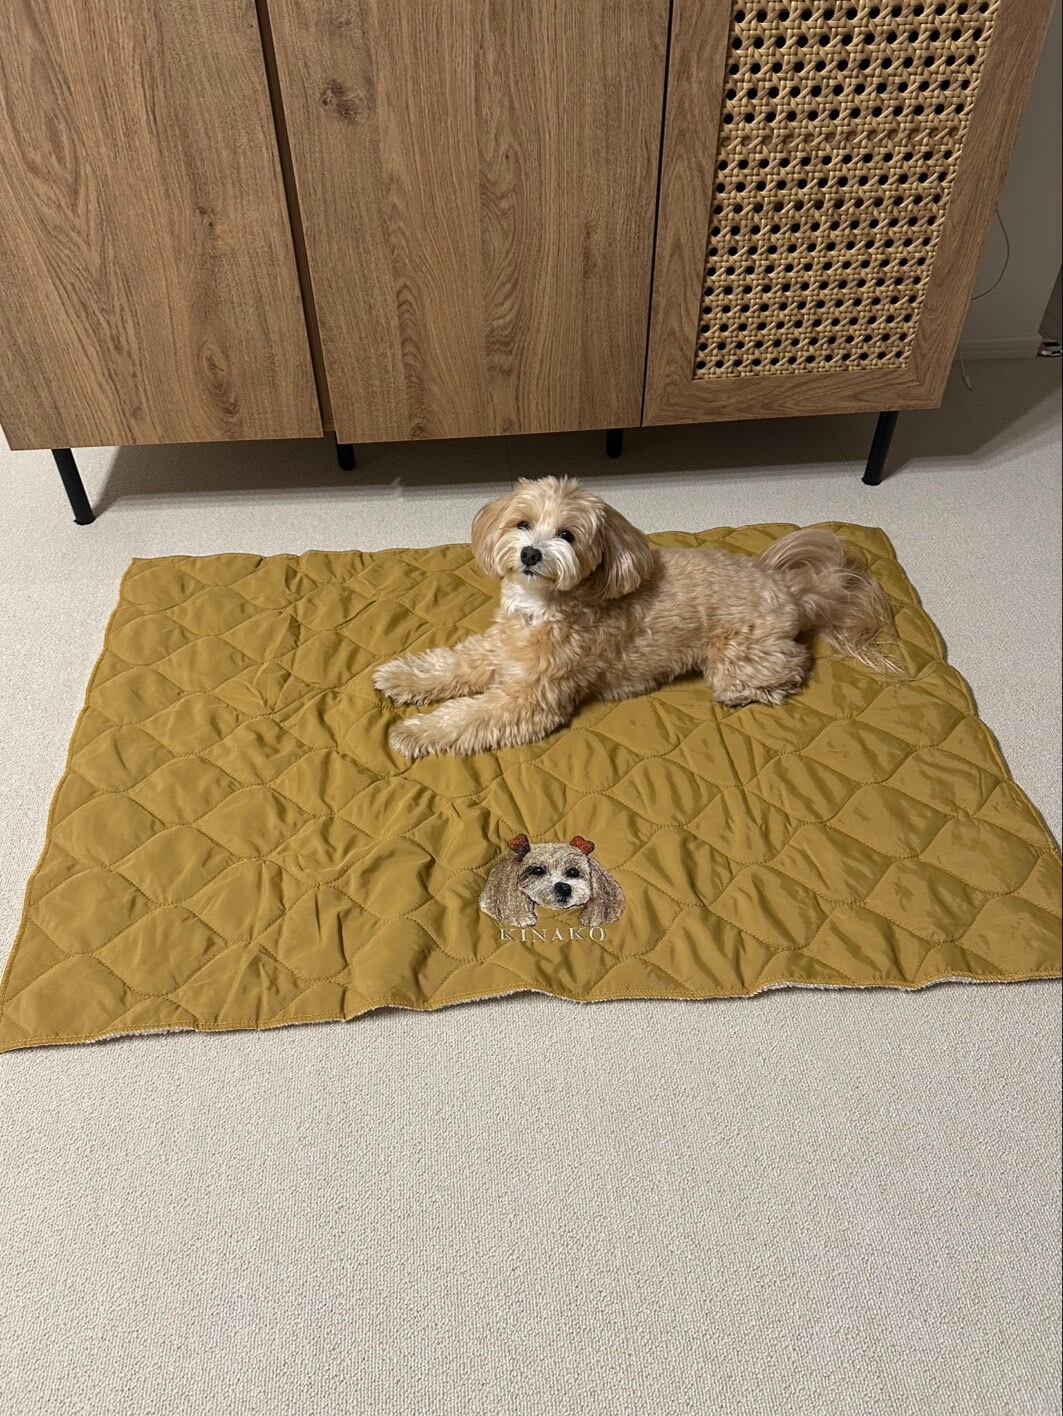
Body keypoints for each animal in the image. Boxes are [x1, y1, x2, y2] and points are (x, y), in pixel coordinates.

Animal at [374, 476, 894, 759]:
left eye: (567, 535)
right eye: (522, 523)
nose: (530, 553)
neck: (544, 606)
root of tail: (792, 590)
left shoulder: (531, 698)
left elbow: (467, 715)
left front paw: (412, 731)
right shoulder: (498, 649)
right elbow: (451, 663)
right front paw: (402, 678)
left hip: (739, 656)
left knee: (788, 667)